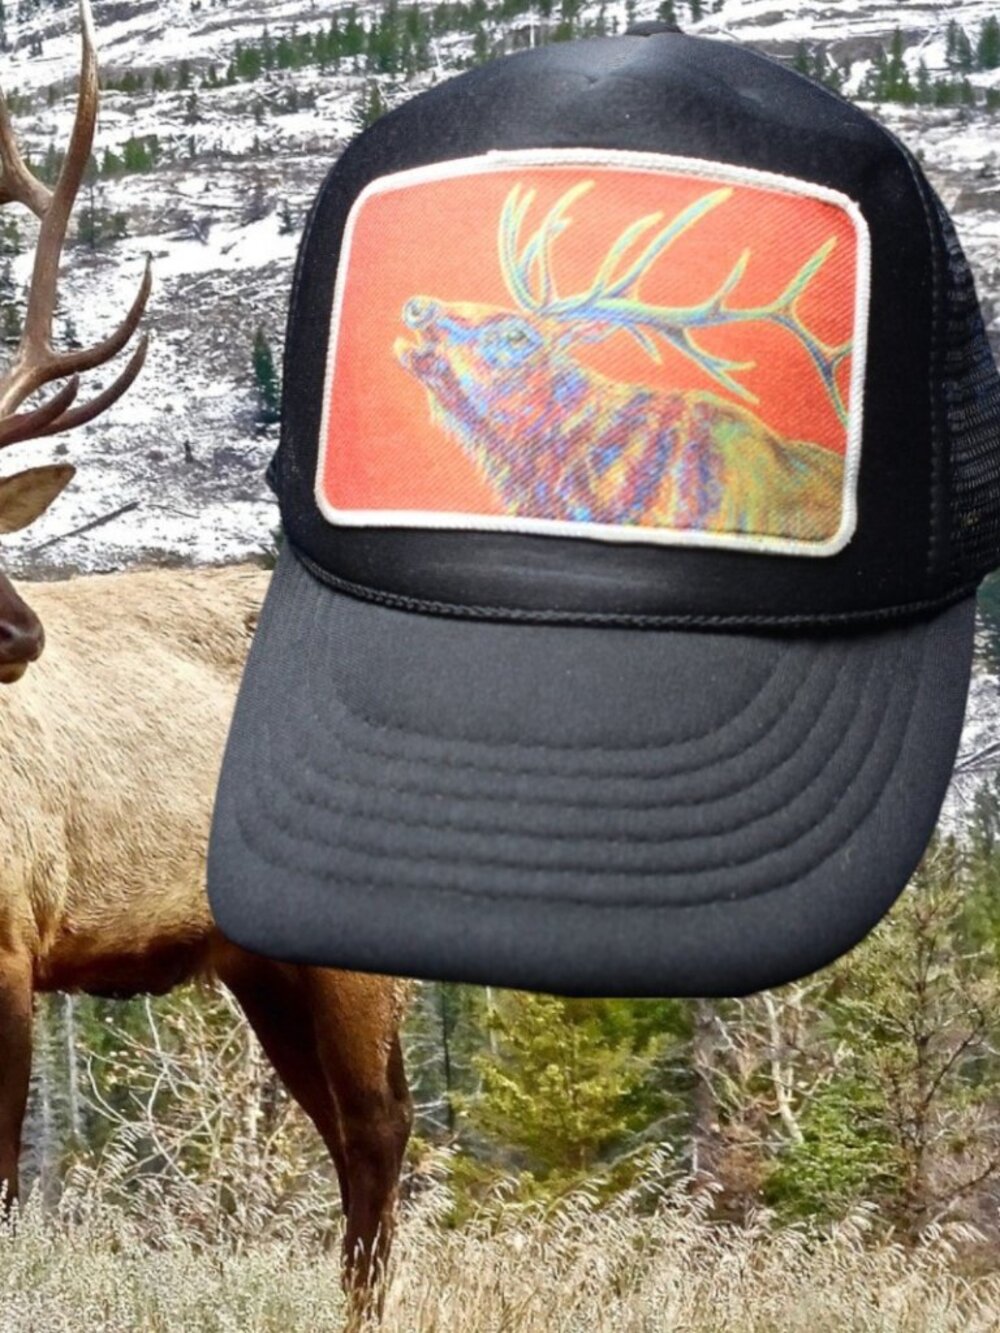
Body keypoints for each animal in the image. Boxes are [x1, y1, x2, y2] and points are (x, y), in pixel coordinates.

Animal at [0, 4, 411, 1324]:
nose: (26, 634)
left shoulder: (15, 939)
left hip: (343, 936)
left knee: (379, 1128)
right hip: (260, 959)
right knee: (346, 1128)